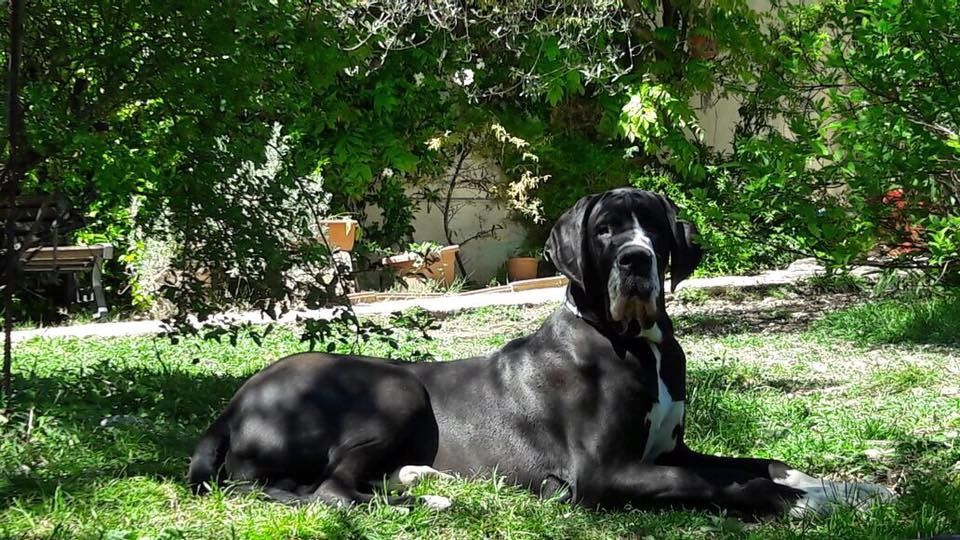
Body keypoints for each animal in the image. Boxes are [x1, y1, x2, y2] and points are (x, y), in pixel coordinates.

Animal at [189, 187, 893, 517]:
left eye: (655, 227)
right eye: (605, 229)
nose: (636, 261)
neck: (636, 345)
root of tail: (229, 408)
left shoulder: (672, 450)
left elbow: (762, 462)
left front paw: (850, 488)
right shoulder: (605, 472)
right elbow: (727, 484)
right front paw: (798, 504)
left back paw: (424, 480)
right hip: (397, 389)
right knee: (327, 492)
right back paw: (431, 498)